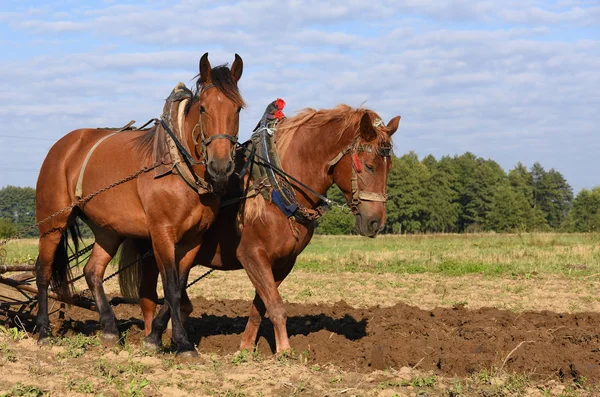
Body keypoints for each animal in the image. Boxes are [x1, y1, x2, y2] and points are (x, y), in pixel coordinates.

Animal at [35, 53, 245, 356]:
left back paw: (110, 330)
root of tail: (62, 146)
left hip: (108, 230)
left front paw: (155, 337)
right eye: (204, 108)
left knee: (92, 271)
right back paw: (43, 331)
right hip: (52, 223)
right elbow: (171, 288)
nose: (221, 166)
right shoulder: (161, 233)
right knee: (43, 271)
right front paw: (182, 344)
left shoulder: (193, 239)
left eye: (238, 108)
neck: (176, 166)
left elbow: (179, 287)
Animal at [119, 103, 400, 352]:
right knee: (149, 296)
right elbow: (275, 305)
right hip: (155, 249)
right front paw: (284, 351)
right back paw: (150, 336)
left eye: (389, 168)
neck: (276, 188)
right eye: (369, 165)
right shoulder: (252, 254)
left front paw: (245, 347)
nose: (376, 223)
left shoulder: (283, 262)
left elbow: (260, 305)